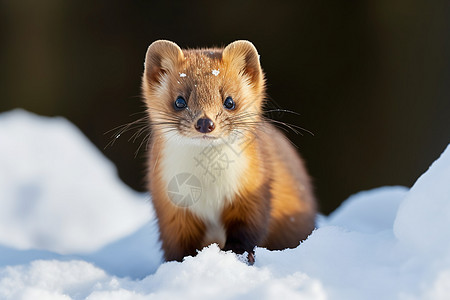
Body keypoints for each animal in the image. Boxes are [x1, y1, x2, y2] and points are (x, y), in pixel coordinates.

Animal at [142, 39, 316, 262]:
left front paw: (235, 254)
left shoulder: (252, 193)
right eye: (180, 101)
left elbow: (247, 232)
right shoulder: (172, 208)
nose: (205, 122)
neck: (209, 188)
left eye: (229, 101)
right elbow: (177, 247)